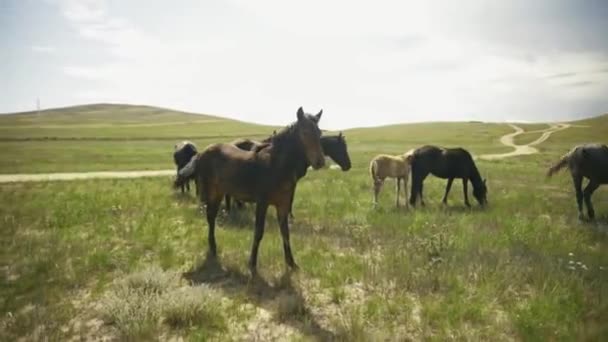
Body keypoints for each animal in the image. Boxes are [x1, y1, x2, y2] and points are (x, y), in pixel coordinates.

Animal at [173, 107, 326, 272]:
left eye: (319, 133)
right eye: (304, 132)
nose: (320, 162)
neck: (276, 165)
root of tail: (201, 153)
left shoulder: (283, 205)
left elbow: (285, 232)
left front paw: (291, 263)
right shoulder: (262, 203)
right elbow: (258, 232)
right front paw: (252, 263)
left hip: (219, 192)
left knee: (212, 216)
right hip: (212, 193)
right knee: (211, 217)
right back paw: (213, 249)